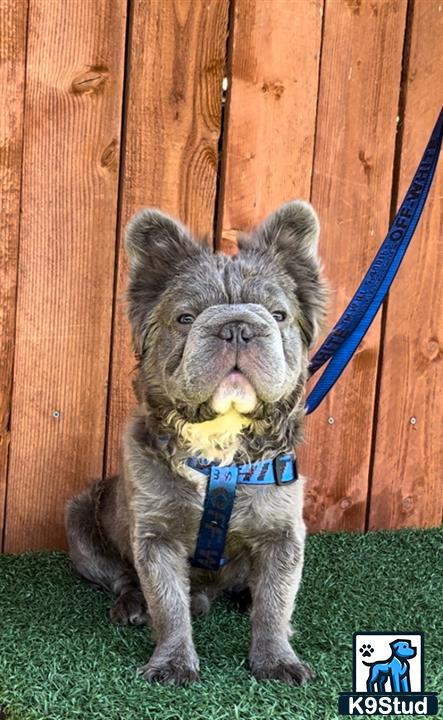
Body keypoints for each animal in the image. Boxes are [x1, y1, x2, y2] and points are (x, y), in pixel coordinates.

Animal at [67, 200, 330, 684]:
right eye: (185, 318)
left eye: (278, 315)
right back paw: (132, 603)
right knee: (121, 576)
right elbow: (168, 604)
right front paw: (172, 661)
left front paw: (276, 659)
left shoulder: (283, 536)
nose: (237, 327)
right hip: (78, 516)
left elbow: (275, 604)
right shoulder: (156, 538)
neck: (220, 448)